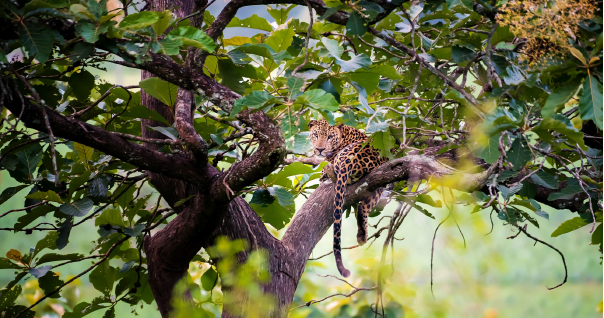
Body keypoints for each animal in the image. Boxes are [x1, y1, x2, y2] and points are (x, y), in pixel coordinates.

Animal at [310, 119, 390, 276]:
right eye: (316, 135)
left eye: (329, 137)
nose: (320, 149)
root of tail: (349, 160)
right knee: (364, 205)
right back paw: (362, 235)